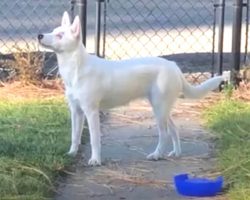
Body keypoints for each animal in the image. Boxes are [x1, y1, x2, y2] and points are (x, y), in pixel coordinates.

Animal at [38, 11, 224, 166]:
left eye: (60, 35)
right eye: (54, 30)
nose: (40, 35)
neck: (76, 68)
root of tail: (174, 66)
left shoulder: (91, 111)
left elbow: (94, 139)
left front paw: (95, 160)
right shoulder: (76, 111)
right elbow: (74, 136)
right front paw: (71, 153)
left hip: (159, 109)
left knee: (164, 134)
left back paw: (157, 155)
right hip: (162, 108)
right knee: (174, 129)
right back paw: (175, 153)